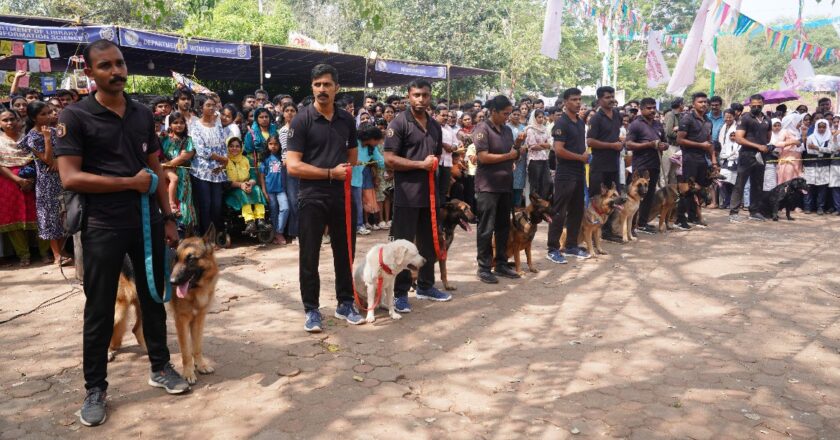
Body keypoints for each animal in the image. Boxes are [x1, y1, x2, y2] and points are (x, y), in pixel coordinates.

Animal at [108, 225, 220, 384]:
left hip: (145, 306)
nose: (172, 282)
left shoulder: (199, 319)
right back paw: (109, 352)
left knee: (136, 329)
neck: (197, 289)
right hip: (120, 308)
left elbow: (197, 347)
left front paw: (201, 365)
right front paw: (188, 373)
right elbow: (186, 351)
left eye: (191, 259)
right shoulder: (181, 321)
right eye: (176, 259)